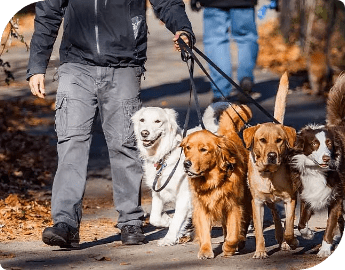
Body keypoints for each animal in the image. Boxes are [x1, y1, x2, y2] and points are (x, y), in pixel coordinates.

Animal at [181, 104, 251, 260]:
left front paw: (229, 248)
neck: (212, 181)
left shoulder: (233, 206)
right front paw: (205, 250)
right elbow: (204, 231)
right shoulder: (202, 207)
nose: (186, 164)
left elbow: (233, 233)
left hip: (246, 201)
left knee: (243, 224)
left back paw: (240, 242)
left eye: (203, 149)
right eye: (188, 147)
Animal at [242, 73, 298, 258]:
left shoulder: (290, 199)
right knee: (275, 215)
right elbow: (259, 231)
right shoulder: (257, 202)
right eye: (262, 140)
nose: (272, 155)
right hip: (269, 201)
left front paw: (292, 241)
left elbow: (290, 226)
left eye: (279, 140)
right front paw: (260, 251)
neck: (269, 174)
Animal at [290, 73, 344, 258]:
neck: (317, 171)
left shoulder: (336, 198)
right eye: (314, 144)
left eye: (329, 143)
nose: (326, 158)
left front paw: (325, 249)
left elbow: (329, 225)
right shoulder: (307, 192)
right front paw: (308, 234)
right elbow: (300, 223)